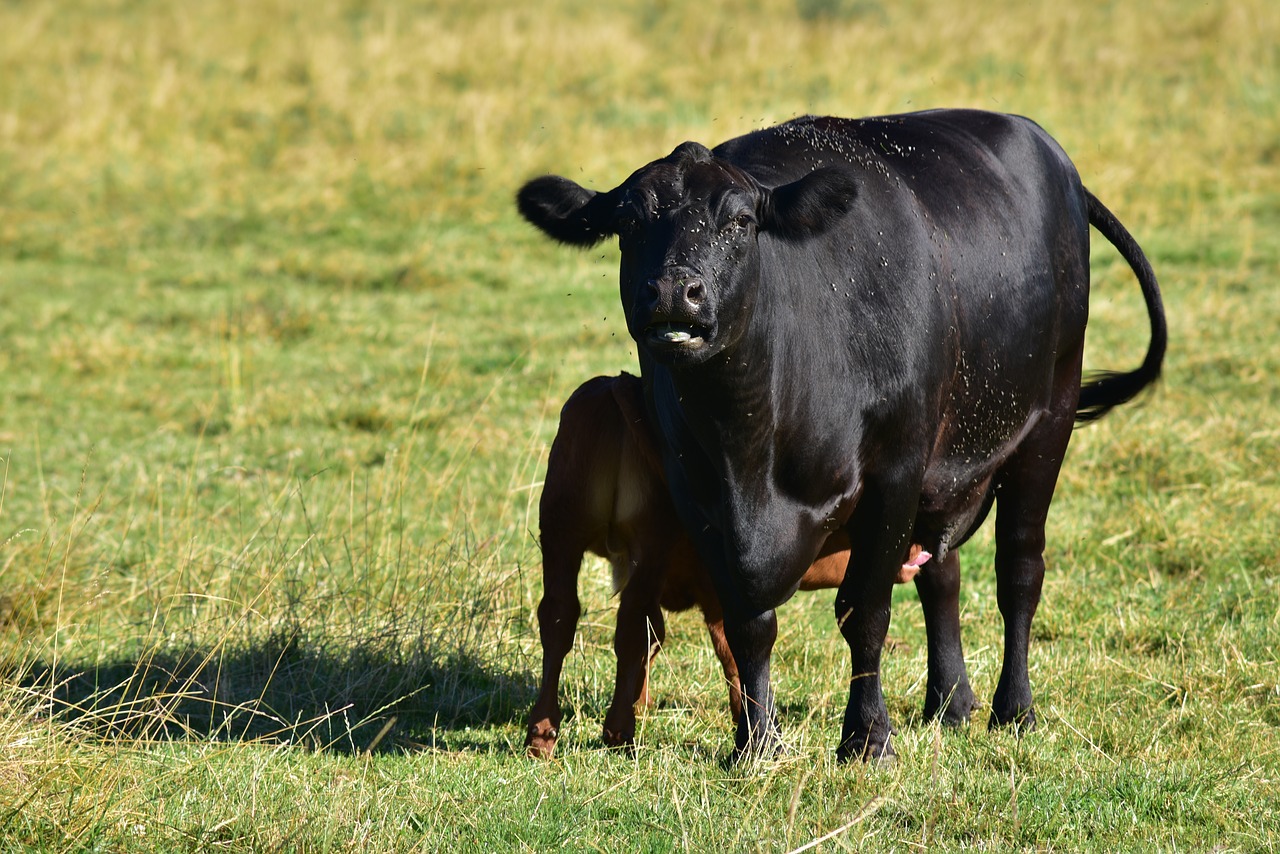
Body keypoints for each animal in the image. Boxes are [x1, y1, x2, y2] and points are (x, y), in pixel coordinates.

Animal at [514, 108, 1167, 763]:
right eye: (629, 221)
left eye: (740, 221)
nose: (676, 290)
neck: (750, 451)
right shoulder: (699, 496)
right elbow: (749, 624)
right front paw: (756, 742)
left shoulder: (894, 474)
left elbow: (864, 611)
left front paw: (868, 735)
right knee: (942, 575)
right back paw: (949, 703)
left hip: (1046, 425)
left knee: (1020, 571)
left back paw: (1015, 709)